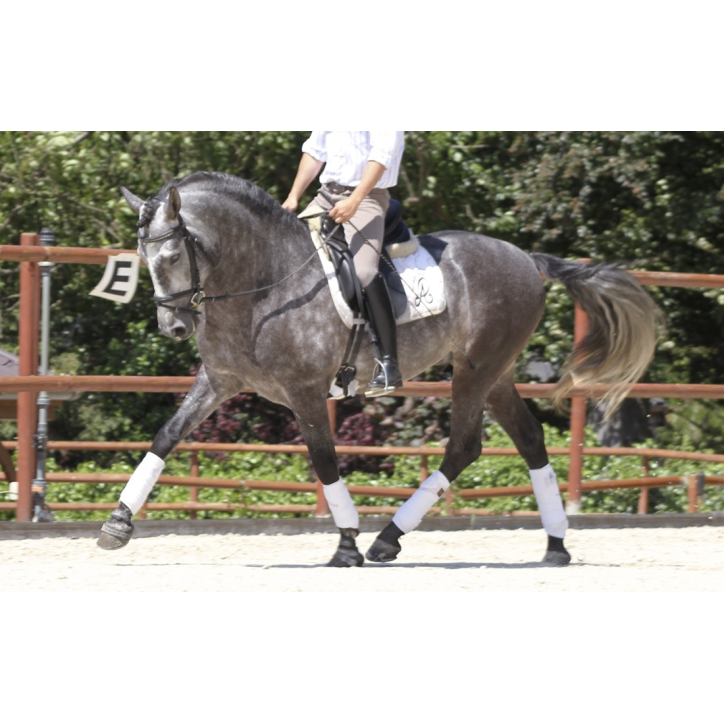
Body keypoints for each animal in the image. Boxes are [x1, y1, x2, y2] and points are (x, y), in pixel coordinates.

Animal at [96, 171, 661, 567]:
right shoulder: (219, 380)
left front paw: (347, 544)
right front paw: (118, 524)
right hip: (497, 374)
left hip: (475, 370)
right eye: (142, 258)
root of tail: (525, 257)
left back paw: (388, 539)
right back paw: (555, 544)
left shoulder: (305, 391)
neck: (261, 283)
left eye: (172, 255)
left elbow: (324, 462)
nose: (173, 327)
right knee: (529, 440)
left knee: (464, 446)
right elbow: (166, 436)